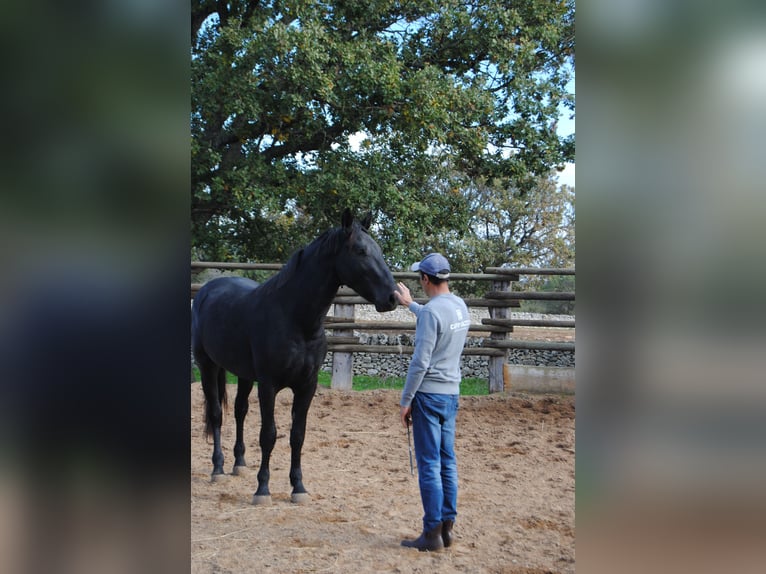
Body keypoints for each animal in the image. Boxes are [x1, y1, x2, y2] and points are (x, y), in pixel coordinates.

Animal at [192, 210, 400, 504]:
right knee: (216, 414)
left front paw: (298, 487)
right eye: (360, 251)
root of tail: (208, 289)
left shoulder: (307, 386)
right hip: (207, 365)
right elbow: (268, 435)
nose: (393, 298)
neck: (295, 319)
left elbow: (297, 435)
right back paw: (218, 468)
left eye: (378, 250)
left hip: (243, 374)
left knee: (240, 411)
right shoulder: (268, 385)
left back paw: (239, 463)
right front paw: (263, 489)